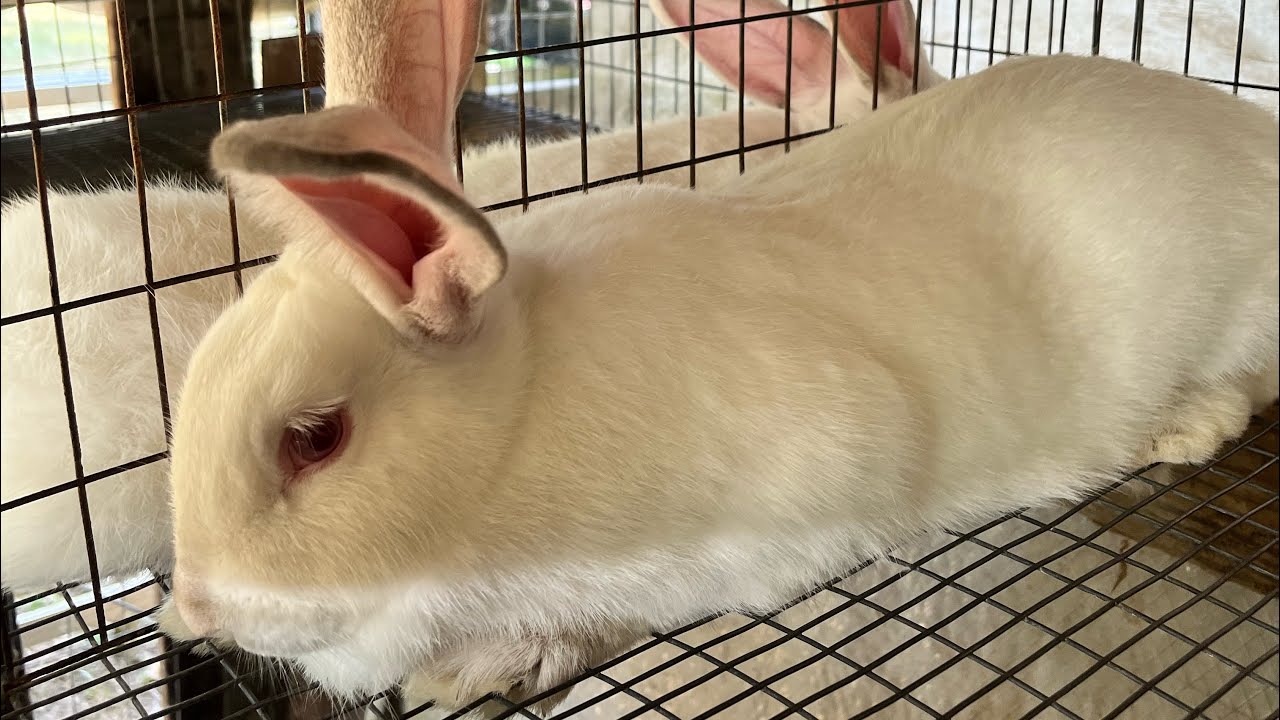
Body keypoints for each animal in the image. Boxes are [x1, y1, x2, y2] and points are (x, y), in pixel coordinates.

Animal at [151, 0, 1278, 714]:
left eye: (315, 438)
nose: (195, 614)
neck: (516, 425)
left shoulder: (795, 496)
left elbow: (640, 607)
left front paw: (494, 662)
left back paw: (1183, 424)